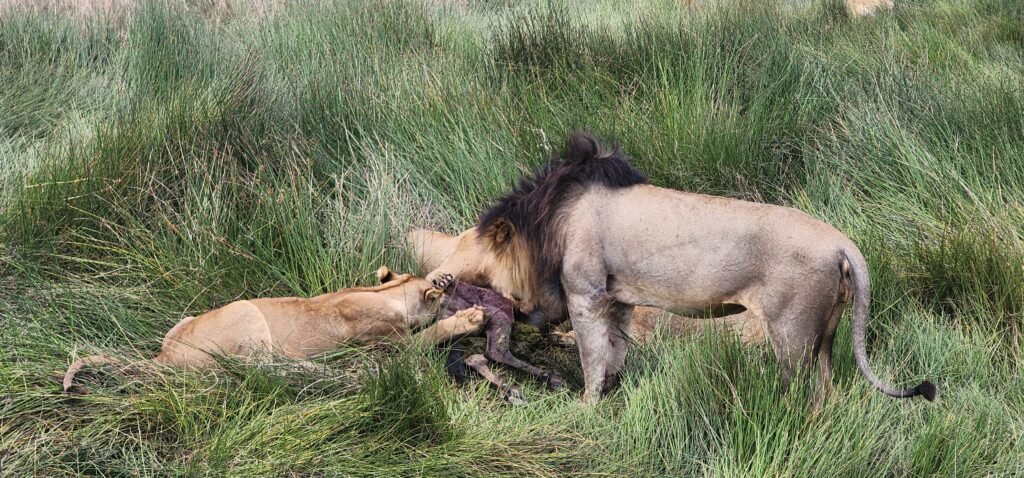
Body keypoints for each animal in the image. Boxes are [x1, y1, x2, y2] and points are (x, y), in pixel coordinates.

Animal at [63, 267, 486, 393]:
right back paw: (325, 372)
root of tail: (162, 357)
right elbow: (428, 335)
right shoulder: (389, 344)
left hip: (182, 323)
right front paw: (470, 318)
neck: (385, 293)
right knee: (260, 370)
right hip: (246, 314)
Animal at [424, 132, 936, 404]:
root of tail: (844, 243)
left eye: (475, 268)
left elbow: (590, 355)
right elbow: (615, 351)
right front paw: (613, 393)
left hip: (791, 334)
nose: (445, 284)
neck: (550, 218)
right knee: (826, 392)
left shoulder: (585, 293)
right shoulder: (618, 298)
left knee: (799, 392)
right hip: (825, 335)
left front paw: (586, 404)